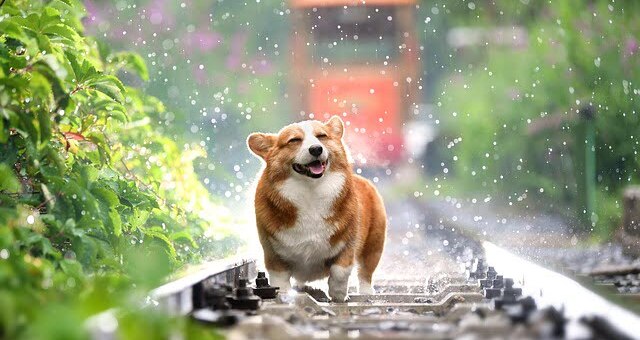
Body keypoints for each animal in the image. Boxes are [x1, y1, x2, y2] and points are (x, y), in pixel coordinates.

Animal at [245, 116, 384, 300]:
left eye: (322, 136)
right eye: (294, 140)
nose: (316, 149)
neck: (310, 190)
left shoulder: (348, 244)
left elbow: (340, 272)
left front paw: (339, 295)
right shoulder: (272, 252)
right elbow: (280, 279)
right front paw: (284, 293)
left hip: (374, 245)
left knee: (365, 272)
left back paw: (366, 292)